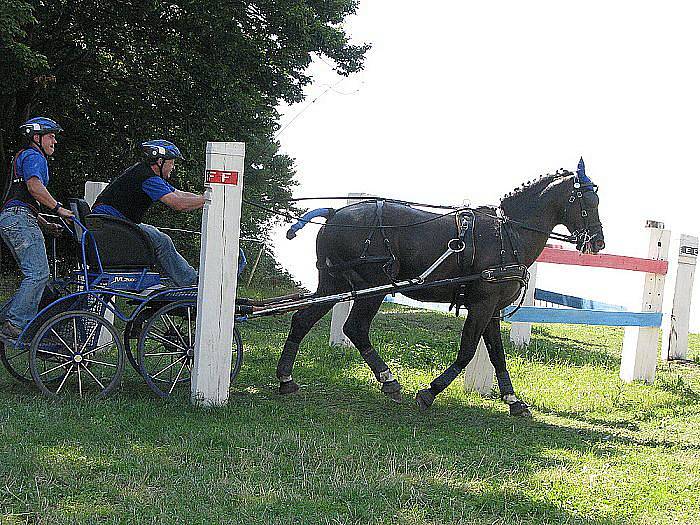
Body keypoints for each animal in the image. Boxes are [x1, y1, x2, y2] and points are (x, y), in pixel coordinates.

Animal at [276, 166, 604, 416]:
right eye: (588, 201)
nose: (598, 241)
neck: (507, 234)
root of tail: (334, 213)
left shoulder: (492, 308)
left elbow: (497, 355)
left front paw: (513, 400)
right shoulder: (482, 305)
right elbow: (468, 351)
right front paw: (430, 391)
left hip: (334, 284)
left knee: (302, 321)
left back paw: (285, 377)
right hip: (371, 288)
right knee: (355, 328)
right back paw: (388, 379)